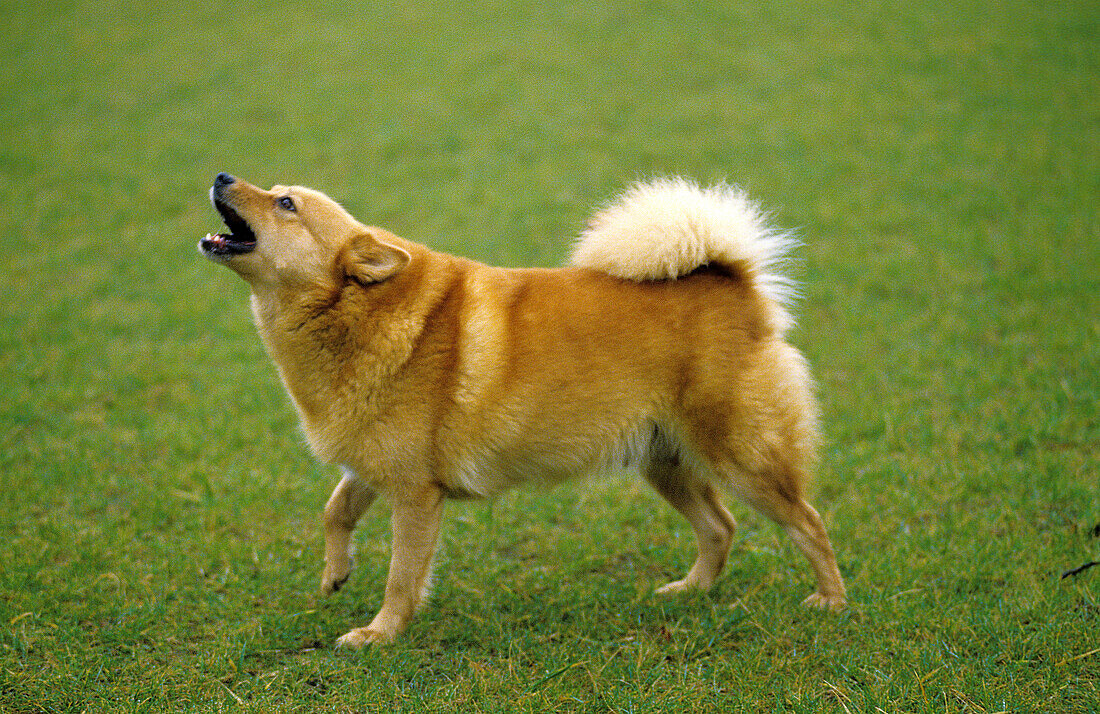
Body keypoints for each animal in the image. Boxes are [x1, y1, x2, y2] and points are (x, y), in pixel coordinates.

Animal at [200, 172, 849, 646]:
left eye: (285, 203)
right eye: (274, 189)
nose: (222, 175)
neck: (353, 311)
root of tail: (732, 281)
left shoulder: (414, 494)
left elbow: (402, 577)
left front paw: (379, 635)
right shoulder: (374, 466)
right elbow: (334, 511)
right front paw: (335, 573)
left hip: (743, 459)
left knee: (809, 523)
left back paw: (832, 601)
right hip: (663, 463)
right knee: (720, 527)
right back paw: (691, 592)